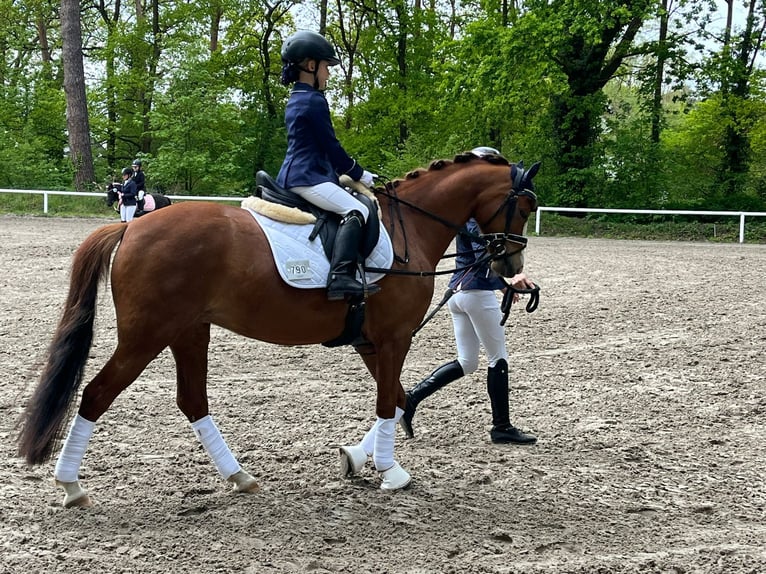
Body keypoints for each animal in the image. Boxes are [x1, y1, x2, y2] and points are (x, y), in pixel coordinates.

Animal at [13, 151, 540, 506]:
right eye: (524, 206)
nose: (510, 264)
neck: (407, 227)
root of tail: (132, 227)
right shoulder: (394, 338)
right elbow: (390, 400)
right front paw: (390, 471)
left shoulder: (372, 341)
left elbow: (397, 397)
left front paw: (357, 458)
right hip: (147, 336)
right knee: (97, 394)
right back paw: (71, 485)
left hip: (188, 331)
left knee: (192, 401)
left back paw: (240, 477)